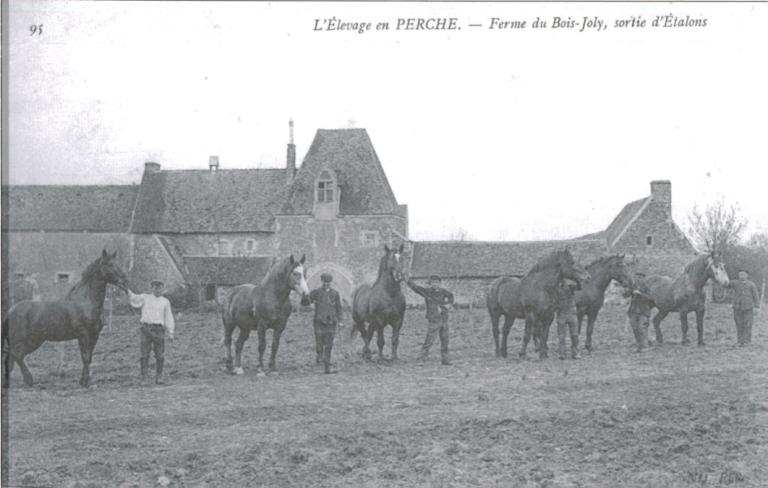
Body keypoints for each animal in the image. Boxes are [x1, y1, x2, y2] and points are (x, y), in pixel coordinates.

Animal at [2, 250, 128, 386]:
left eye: (117, 263)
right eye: (109, 264)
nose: (124, 280)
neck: (86, 301)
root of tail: (11, 311)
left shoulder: (95, 334)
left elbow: (89, 357)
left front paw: (85, 380)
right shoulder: (83, 334)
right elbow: (85, 357)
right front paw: (84, 381)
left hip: (34, 340)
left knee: (15, 357)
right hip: (21, 340)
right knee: (16, 355)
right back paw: (28, 379)